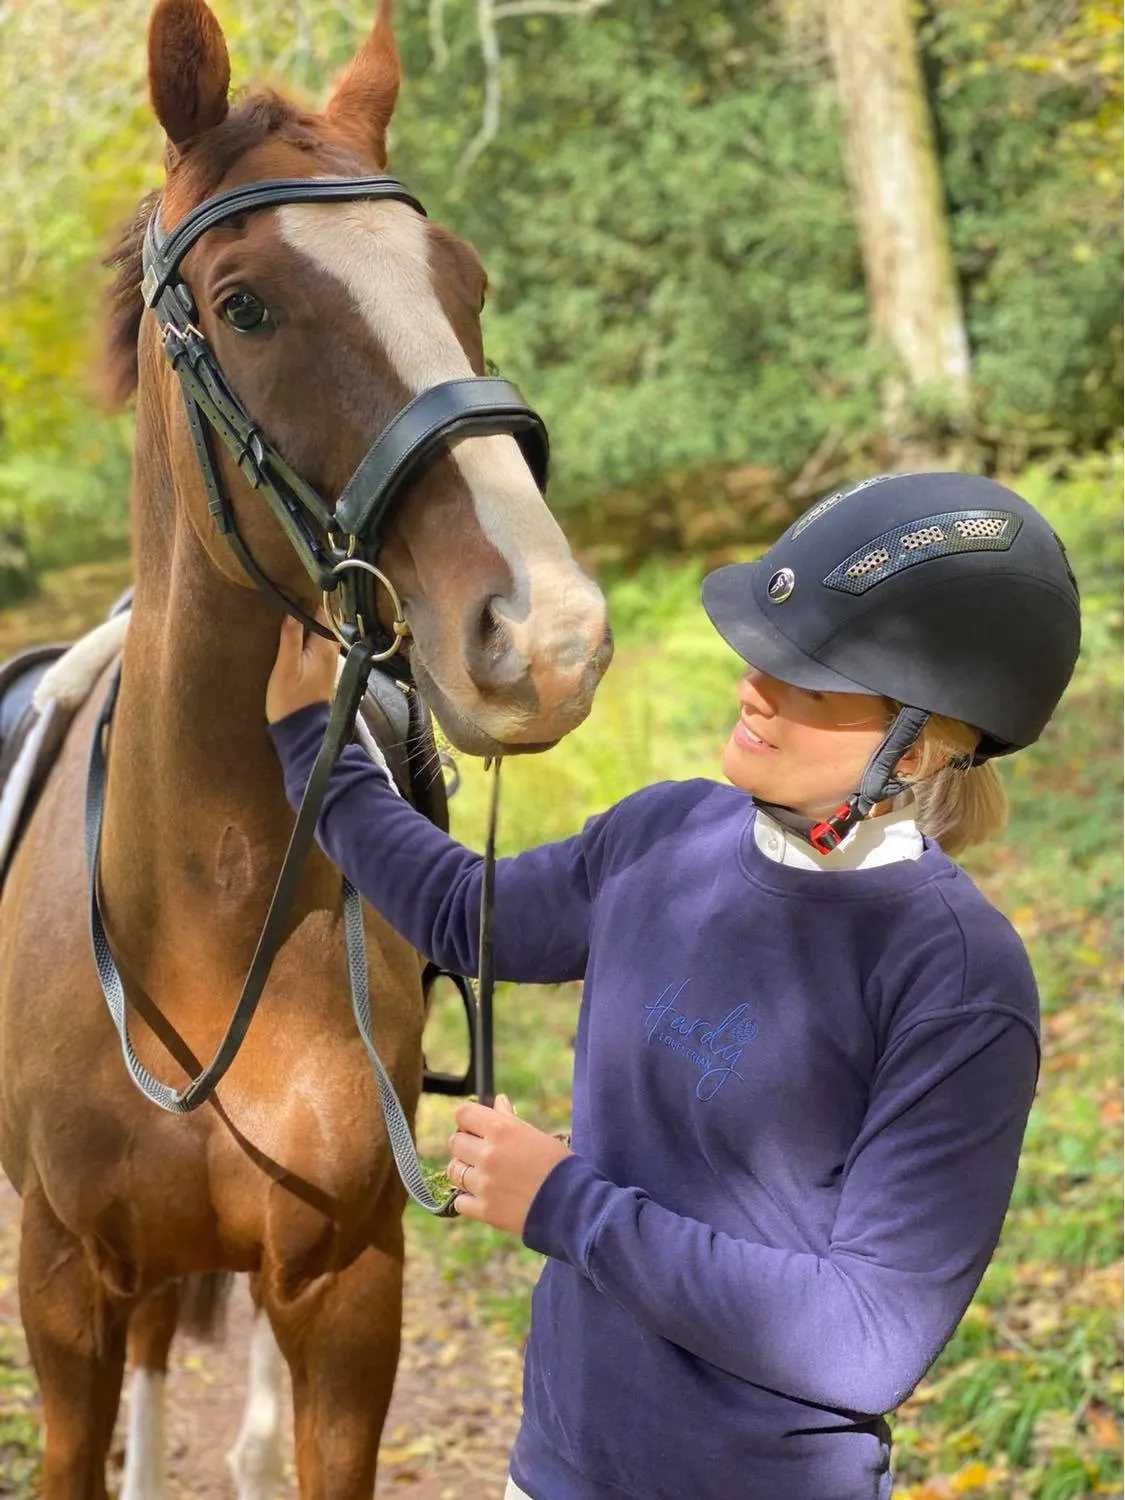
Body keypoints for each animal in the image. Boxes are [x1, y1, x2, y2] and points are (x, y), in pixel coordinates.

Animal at [0, 2, 612, 1500]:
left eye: (463, 280)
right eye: (245, 306)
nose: (550, 632)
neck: (199, 922)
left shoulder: (345, 1289)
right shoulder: (63, 1285)